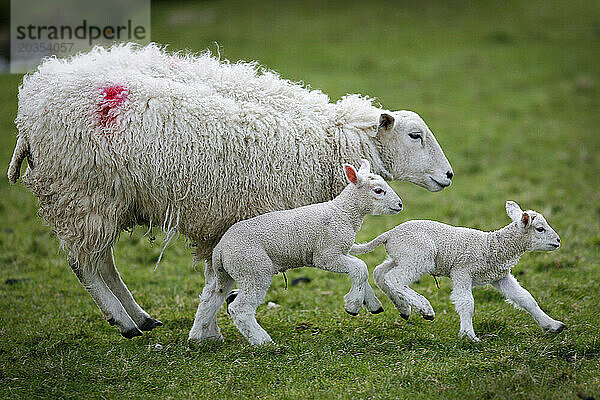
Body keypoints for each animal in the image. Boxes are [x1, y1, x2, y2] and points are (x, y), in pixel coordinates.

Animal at [190, 159, 400, 344]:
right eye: (378, 190)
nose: (400, 205)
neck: (343, 213)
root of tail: (220, 249)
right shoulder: (326, 255)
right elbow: (361, 268)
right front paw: (353, 305)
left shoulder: (341, 251)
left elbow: (361, 272)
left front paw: (372, 304)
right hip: (254, 269)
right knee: (240, 308)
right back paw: (263, 342)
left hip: (230, 271)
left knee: (211, 297)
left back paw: (201, 338)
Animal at [350, 202, 564, 342]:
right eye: (540, 229)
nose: (558, 241)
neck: (493, 246)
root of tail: (390, 234)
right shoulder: (462, 271)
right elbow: (466, 303)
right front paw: (469, 336)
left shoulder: (499, 276)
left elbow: (526, 299)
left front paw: (553, 325)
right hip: (420, 257)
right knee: (394, 278)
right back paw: (425, 309)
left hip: (402, 257)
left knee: (380, 273)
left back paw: (403, 307)